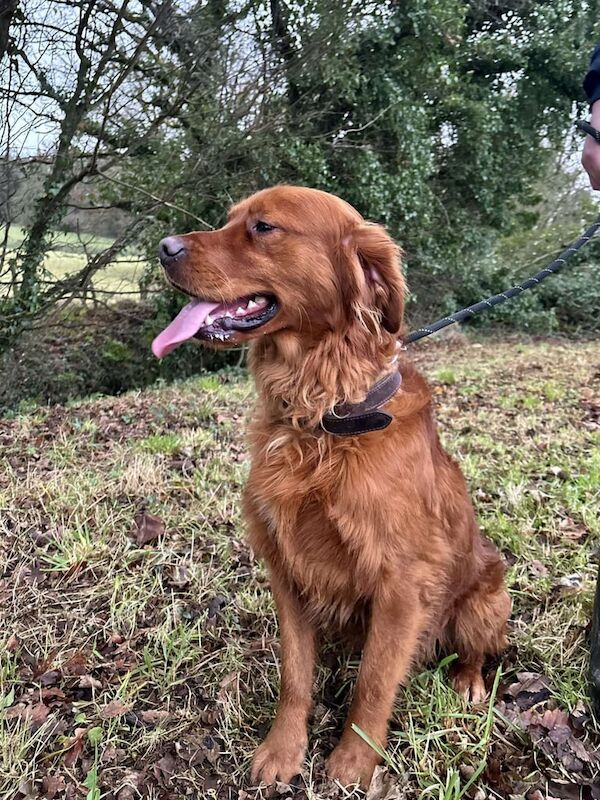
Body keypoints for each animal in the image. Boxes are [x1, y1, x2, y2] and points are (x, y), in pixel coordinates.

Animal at [151, 186, 510, 788]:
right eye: (228, 219)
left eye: (264, 227)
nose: (164, 247)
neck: (322, 418)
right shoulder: (287, 569)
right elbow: (296, 675)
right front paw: (283, 751)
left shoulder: (400, 584)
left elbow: (374, 682)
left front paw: (352, 762)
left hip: (486, 600)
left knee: (474, 652)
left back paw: (467, 681)